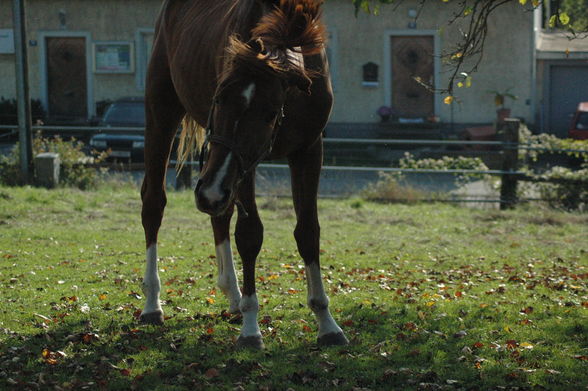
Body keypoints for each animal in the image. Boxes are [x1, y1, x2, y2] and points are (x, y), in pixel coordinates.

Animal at [140, 0, 346, 350]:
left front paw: (326, 323)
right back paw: (153, 304)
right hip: (163, 116)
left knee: (220, 214)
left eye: (269, 113)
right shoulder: (243, 165)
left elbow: (308, 232)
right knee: (154, 203)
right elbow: (250, 235)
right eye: (219, 97)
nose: (208, 194)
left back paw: (233, 296)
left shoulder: (307, 150)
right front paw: (251, 329)